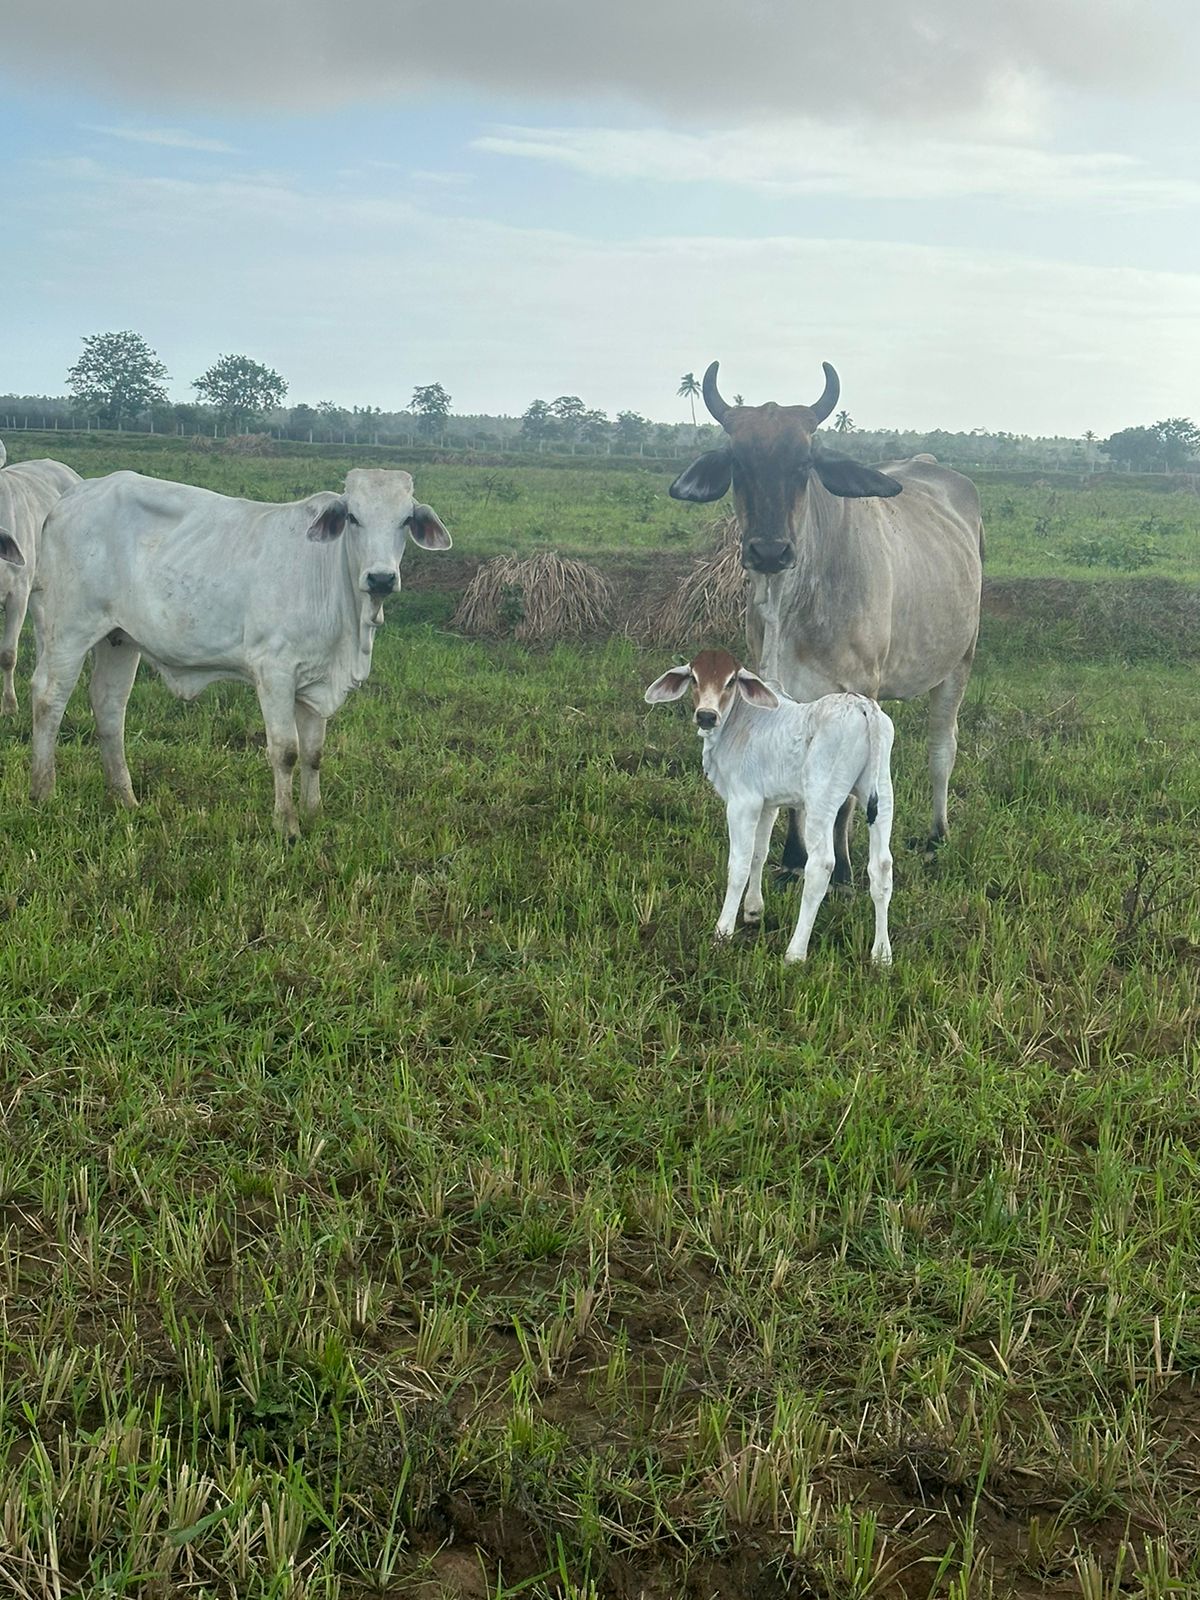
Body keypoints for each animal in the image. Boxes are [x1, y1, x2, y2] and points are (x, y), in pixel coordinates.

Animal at [29, 467, 451, 837]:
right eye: (353, 517)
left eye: (405, 519)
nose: (381, 577)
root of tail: (72, 496)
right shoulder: (274, 671)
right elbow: (286, 751)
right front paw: (288, 825)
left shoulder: (316, 680)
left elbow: (314, 752)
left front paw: (313, 813)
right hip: (68, 629)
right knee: (49, 698)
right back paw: (43, 792)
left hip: (119, 639)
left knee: (109, 706)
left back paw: (124, 798)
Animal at [645, 648, 895, 964]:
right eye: (694, 678)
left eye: (730, 681)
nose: (706, 715)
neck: (740, 720)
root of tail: (863, 707)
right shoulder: (767, 804)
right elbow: (758, 854)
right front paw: (753, 911)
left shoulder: (743, 803)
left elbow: (739, 865)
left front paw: (722, 932)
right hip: (882, 794)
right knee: (881, 866)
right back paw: (882, 954)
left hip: (822, 799)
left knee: (821, 866)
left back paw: (795, 952)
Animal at [669, 362, 983, 884]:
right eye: (738, 463)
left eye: (804, 463)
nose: (769, 551)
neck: (791, 604)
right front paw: (793, 858)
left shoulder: (858, 692)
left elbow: (844, 798)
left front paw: (842, 872)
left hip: (959, 661)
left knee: (943, 745)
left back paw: (937, 833)